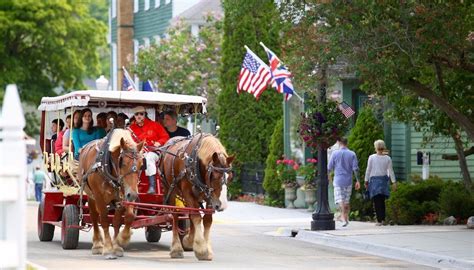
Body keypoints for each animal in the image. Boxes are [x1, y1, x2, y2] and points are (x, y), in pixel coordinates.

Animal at [77, 129, 143, 260]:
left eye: (141, 164)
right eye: (122, 163)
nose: (133, 194)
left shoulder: (124, 195)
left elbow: (124, 218)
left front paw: (120, 242)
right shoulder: (99, 196)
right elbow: (104, 220)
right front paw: (108, 248)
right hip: (91, 195)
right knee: (94, 216)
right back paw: (97, 244)